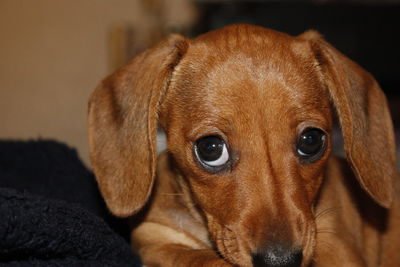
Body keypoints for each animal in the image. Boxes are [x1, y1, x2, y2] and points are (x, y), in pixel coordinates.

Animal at [88, 24, 400, 266]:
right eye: (211, 149)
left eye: (311, 141)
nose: (280, 261)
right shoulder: (154, 239)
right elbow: (196, 258)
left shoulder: (336, 248)